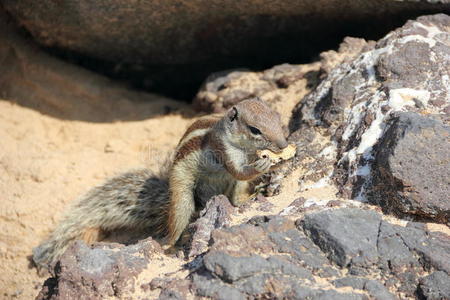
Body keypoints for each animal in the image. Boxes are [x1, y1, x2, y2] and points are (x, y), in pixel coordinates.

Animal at [34, 98, 288, 270]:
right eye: (255, 130)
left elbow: (242, 176)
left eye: (278, 118)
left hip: (229, 188)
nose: (284, 144)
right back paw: (173, 246)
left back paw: (249, 198)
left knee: (235, 196)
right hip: (182, 196)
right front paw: (264, 165)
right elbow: (239, 171)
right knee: (175, 225)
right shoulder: (222, 149)